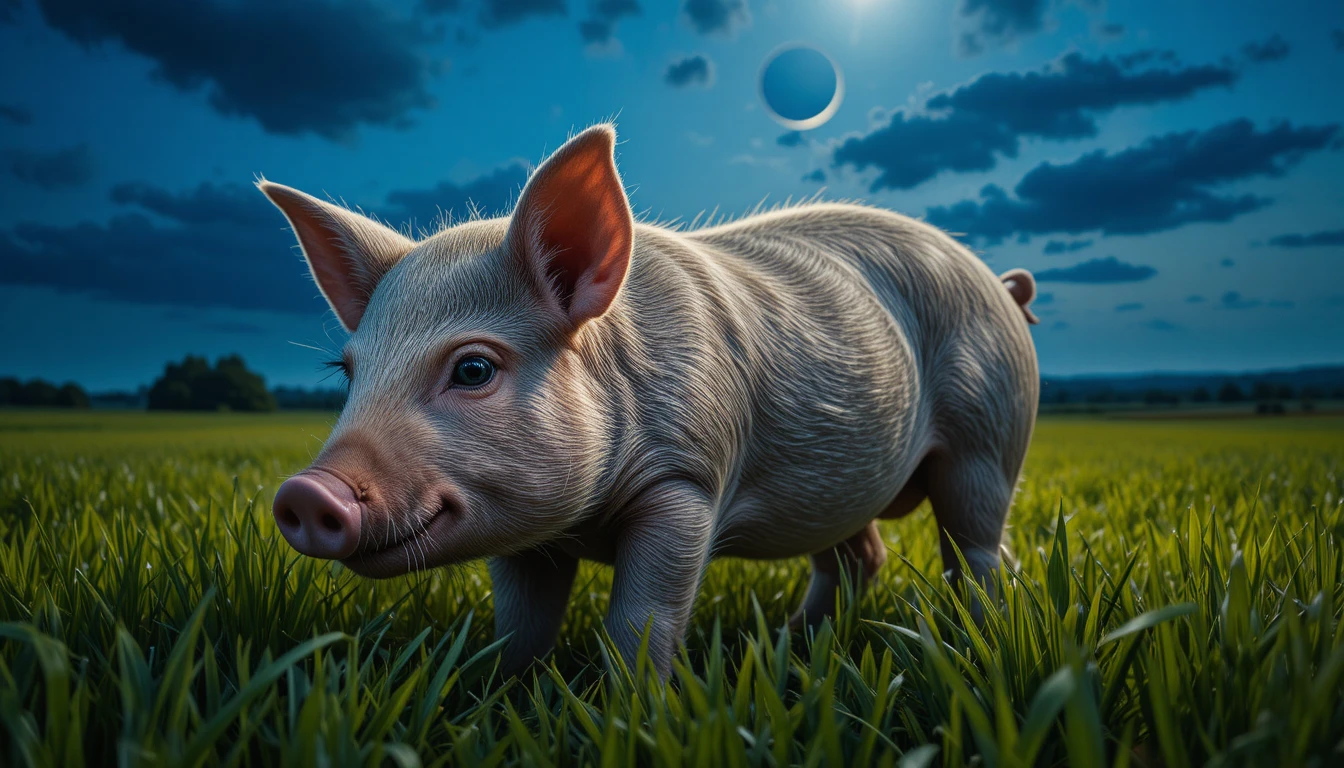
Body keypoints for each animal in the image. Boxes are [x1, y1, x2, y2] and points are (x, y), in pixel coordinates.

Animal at [262, 124, 1039, 677]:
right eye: (348, 372)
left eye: (474, 368)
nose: (304, 491)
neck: (586, 521)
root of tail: (1000, 286)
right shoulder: (524, 532)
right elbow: (520, 628)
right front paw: (503, 695)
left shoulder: (688, 479)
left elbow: (642, 620)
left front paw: (631, 711)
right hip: (847, 481)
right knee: (858, 557)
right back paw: (784, 651)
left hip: (990, 431)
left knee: (979, 549)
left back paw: (972, 640)